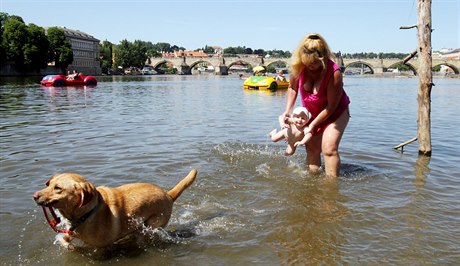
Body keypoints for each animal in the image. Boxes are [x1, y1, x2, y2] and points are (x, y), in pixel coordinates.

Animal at [32, 168, 198, 249]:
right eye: (48, 184)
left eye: (58, 188)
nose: (34, 196)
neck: (87, 213)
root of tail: (168, 194)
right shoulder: (69, 233)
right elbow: (64, 240)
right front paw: (70, 246)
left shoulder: (102, 247)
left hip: (151, 225)